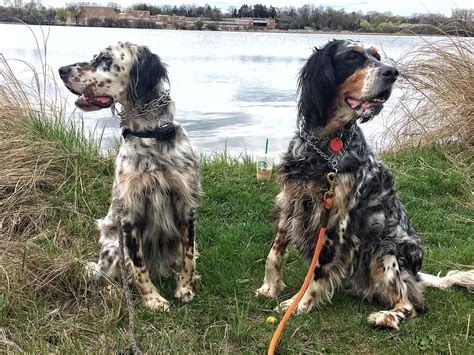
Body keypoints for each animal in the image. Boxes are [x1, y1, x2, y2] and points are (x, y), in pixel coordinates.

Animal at [58, 41, 200, 310]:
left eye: (105, 59)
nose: (62, 70)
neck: (151, 135)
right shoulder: (130, 213)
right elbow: (137, 264)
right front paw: (153, 299)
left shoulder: (186, 205)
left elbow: (189, 255)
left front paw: (185, 287)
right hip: (113, 245)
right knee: (109, 276)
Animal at [258, 40, 472, 330]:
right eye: (353, 57)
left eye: (377, 56)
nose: (392, 72)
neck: (326, 144)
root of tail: (415, 274)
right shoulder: (291, 201)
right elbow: (274, 252)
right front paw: (269, 287)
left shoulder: (336, 219)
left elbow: (317, 270)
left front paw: (299, 304)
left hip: (385, 251)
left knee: (410, 304)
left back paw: (387, 316)